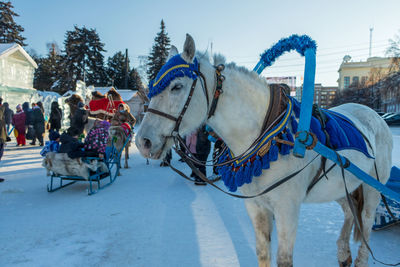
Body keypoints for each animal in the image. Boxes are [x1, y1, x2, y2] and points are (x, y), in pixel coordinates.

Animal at [136, 34, 392, 266]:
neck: (267, 135)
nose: (142, 142)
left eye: (177, 86)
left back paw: (359, 258)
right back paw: (343, 253)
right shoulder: (256, 206)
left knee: (366, 222)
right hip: (342, 186)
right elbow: (262, 253)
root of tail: (372, 114)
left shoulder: (287, 209)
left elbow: (284, 259)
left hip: (372, 188)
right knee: (350, 213)